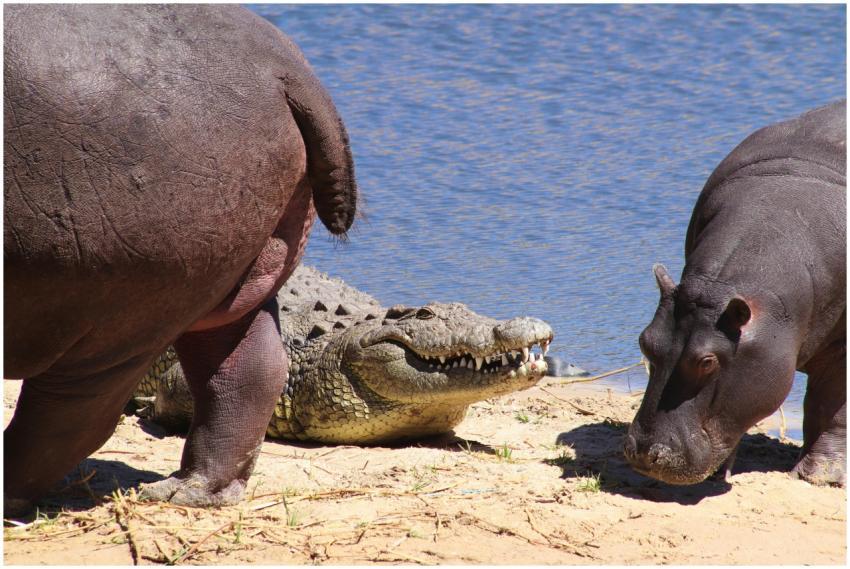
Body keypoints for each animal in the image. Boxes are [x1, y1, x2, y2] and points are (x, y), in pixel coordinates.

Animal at [4, 5, 357, 514]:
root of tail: (286, 70)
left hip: (118, 307)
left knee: (71, 415)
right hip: (232, 276)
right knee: (245, 371)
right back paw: (192, 490)